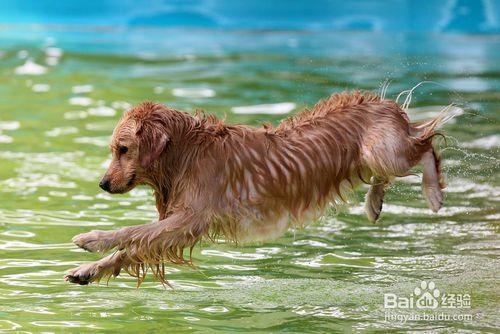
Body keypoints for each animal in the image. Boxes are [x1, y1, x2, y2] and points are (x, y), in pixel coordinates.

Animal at [65, 90, 446, 284]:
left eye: (123, 149)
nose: (102, 184)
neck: (185, 151)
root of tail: (385, 103)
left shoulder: (190, 218)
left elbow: (133, 232)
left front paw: (92, 239)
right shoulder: (178, 222)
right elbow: (134, 246)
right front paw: (88, 271)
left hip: (383, 151)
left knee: (427, 145)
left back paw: (434, 194)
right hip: (372, 157)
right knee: (393, 168)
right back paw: (374, 203)